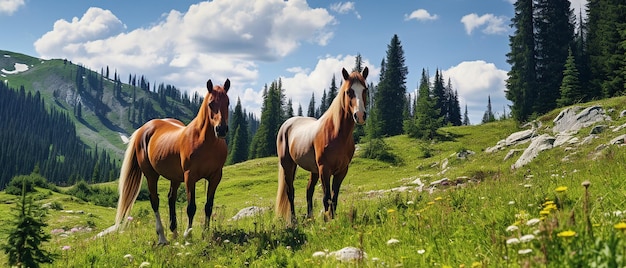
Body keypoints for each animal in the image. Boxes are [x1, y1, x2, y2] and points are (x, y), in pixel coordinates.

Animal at [98, 78, 230, 245]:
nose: (221, 129)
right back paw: (162, 237)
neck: (204, 141)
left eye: (228, 102)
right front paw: (188, 236)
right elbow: (191, 207)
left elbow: (208, 206)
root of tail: (144, 129)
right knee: (155, 201)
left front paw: (205, 235)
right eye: (211, 103)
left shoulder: (215, 177)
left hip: (175, 177)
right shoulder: (190, 176)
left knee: (170, 198)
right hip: (151, 175)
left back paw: (174, 233)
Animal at [276, 66, 368, 222]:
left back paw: (310, 218)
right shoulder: (324, 170)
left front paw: (333, 219)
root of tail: (287, 124)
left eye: (365, 89)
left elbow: (334, 198)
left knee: (308, 190)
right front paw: (327, 220)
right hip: (288, 166)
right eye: (348, 91)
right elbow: (327, 198)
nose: (360, 115)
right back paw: (293, 220)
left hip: (313, 170)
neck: (336, 133)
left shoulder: (341, 171)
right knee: (290, 192)